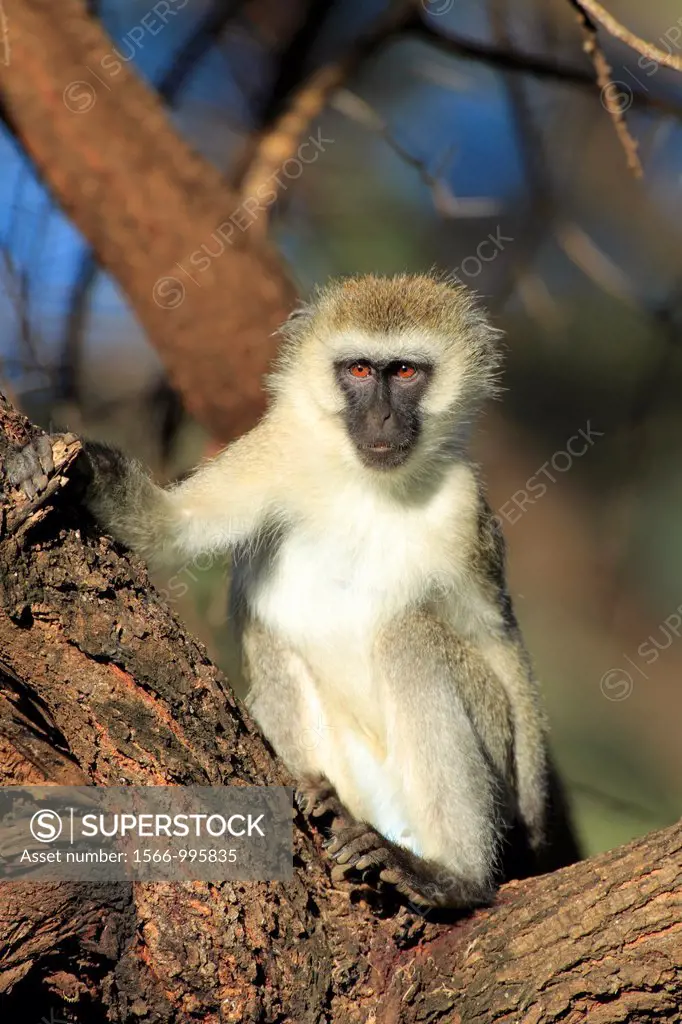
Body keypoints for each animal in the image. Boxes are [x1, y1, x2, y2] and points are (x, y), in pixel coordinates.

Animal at [6, 276, 577, 909]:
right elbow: (171, 526)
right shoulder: (275, 450)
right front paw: (69, 465)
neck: (368, 485)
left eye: (405, 372)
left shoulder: (463, 509)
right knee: (277, 635)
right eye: (359, 370)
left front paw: (533, 838)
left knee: (414, 639)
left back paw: (452, 876)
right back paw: (323, 795)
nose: (381, 417)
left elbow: (495, 637)